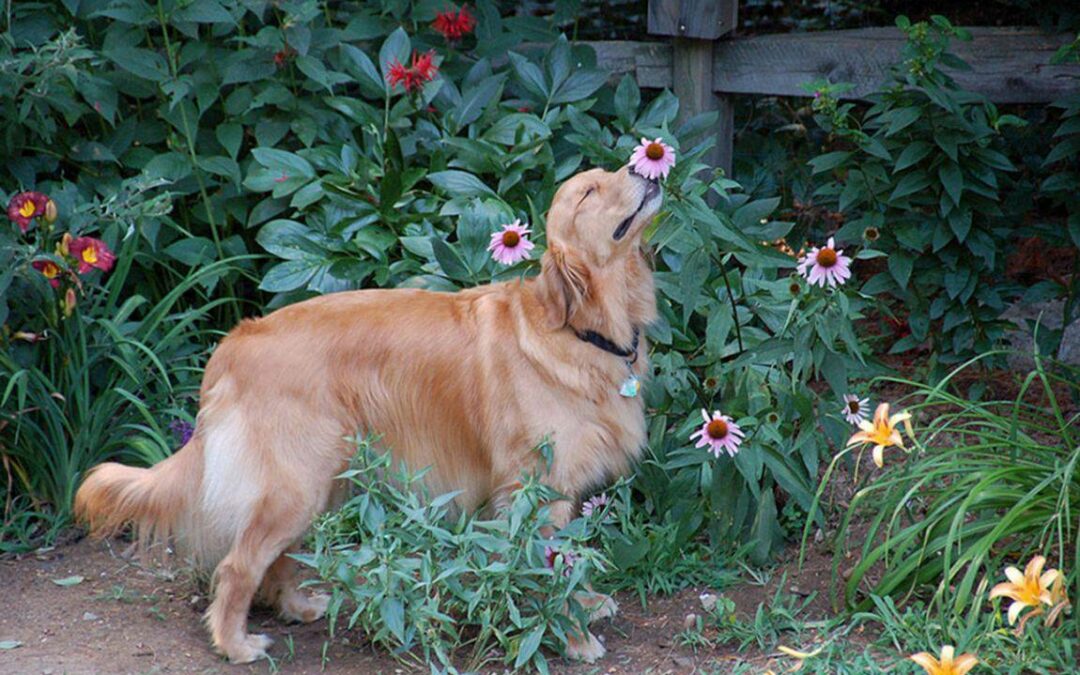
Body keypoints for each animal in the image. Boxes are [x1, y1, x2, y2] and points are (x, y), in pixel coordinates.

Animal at [73, 164, 656, 665]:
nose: (641, 165)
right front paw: (575, 638)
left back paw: (299, 606)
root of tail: (237, 340)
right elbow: (554, 572)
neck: (579, 329)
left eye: (606, 173)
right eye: (589, 192)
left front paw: (587, 606)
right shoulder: (535, 490)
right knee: (239, 565)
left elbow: (572, 562)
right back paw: (235, 643)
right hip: (295, 485)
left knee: (278, 559)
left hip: (322, 482)